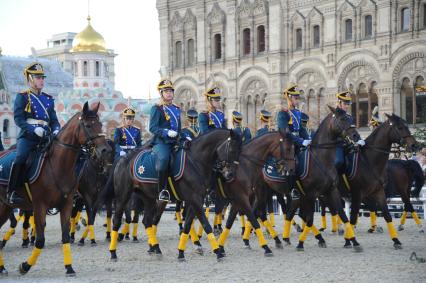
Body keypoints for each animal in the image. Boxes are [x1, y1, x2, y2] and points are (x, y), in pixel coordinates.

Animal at [0, 102, 111, 278]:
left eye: (100, 124)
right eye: (88, 125)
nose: (105, 151)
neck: (58, 165)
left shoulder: (67, 204)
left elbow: (65, 235)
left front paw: (69, 267)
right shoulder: (40, 206)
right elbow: (40, 240)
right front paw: (25, 266)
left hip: (5, 207)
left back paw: (2, 267)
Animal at [103, 130, 241, 262]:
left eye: (239, 151)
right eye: (232, 150)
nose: (230, 175)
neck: (195, 162)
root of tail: (123, 158)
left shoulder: (195, 200)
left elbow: (187, 225)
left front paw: (181, 253)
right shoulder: (195, 199)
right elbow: (206, 224)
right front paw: (218, 252)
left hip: (148, 198)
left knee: (147, 221)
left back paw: (156, 249)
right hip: (123, 196)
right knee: (117, 221)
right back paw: (113, 253)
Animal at [342, 114, 418, 250]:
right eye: (400, 127)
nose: (414, 145)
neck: (368, 161)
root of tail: (405, 163)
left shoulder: (376, 193)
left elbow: (386, 214)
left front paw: (396, 240)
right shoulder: (358, 194)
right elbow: (353, 216)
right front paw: (349, 239)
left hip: (403, 191)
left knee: (408, 205)